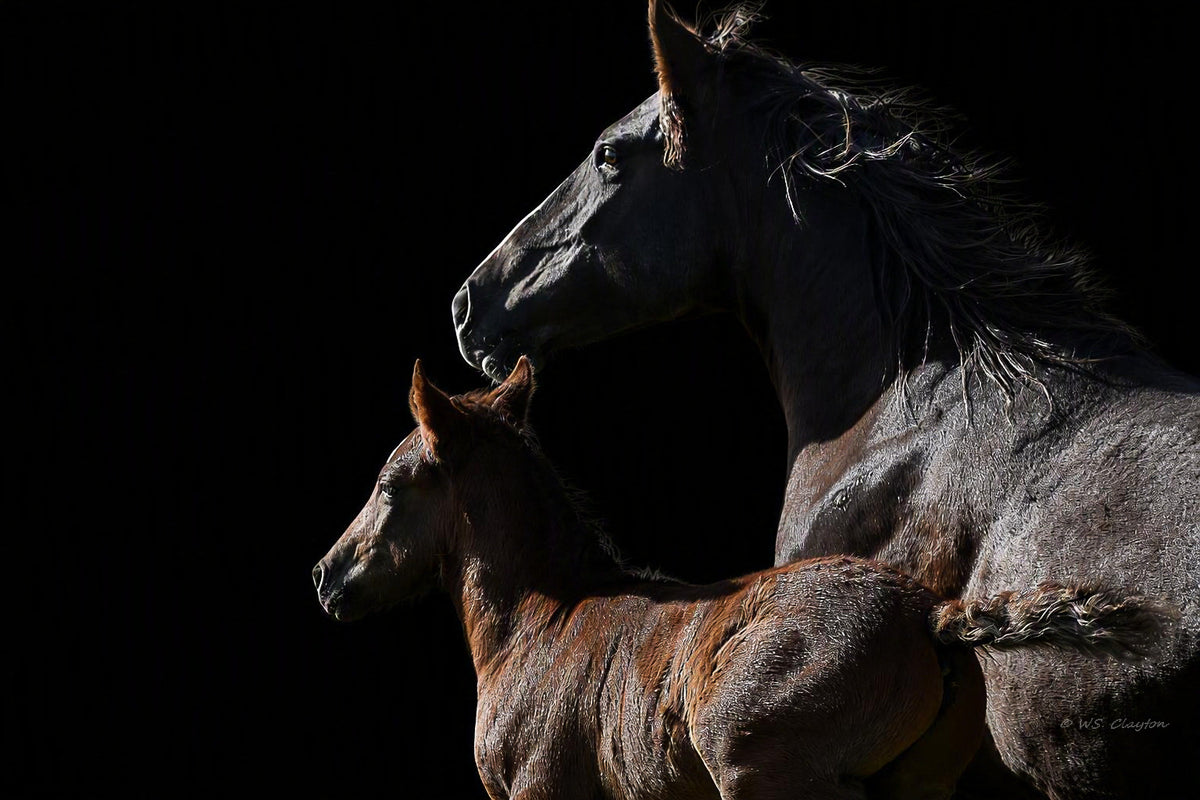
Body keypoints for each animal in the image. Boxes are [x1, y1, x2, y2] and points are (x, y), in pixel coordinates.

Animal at [313, 357, 1166, 800]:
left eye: (390, 485)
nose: (326, 576)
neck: (538, 623)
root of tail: (930, 616)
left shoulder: (538, 792)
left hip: (762, 772)